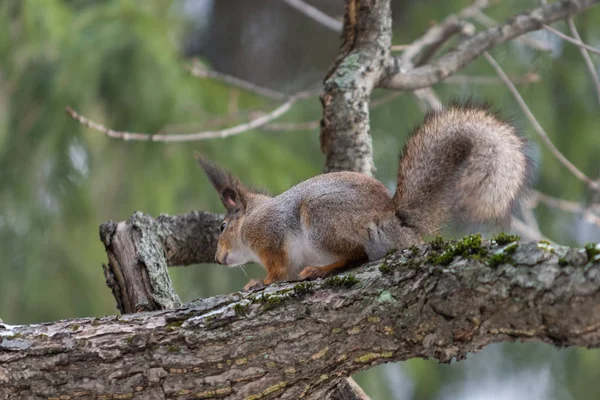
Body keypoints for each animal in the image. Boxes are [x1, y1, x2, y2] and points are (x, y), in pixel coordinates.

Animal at [199, 101, 532, 290]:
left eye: (222, 227)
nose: (217, 258)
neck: (251, 219)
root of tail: (394, 220)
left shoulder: (271, 236)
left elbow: (279, 270)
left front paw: (260, 282)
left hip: (322, 218)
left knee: (355, 254)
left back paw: (319, 269)